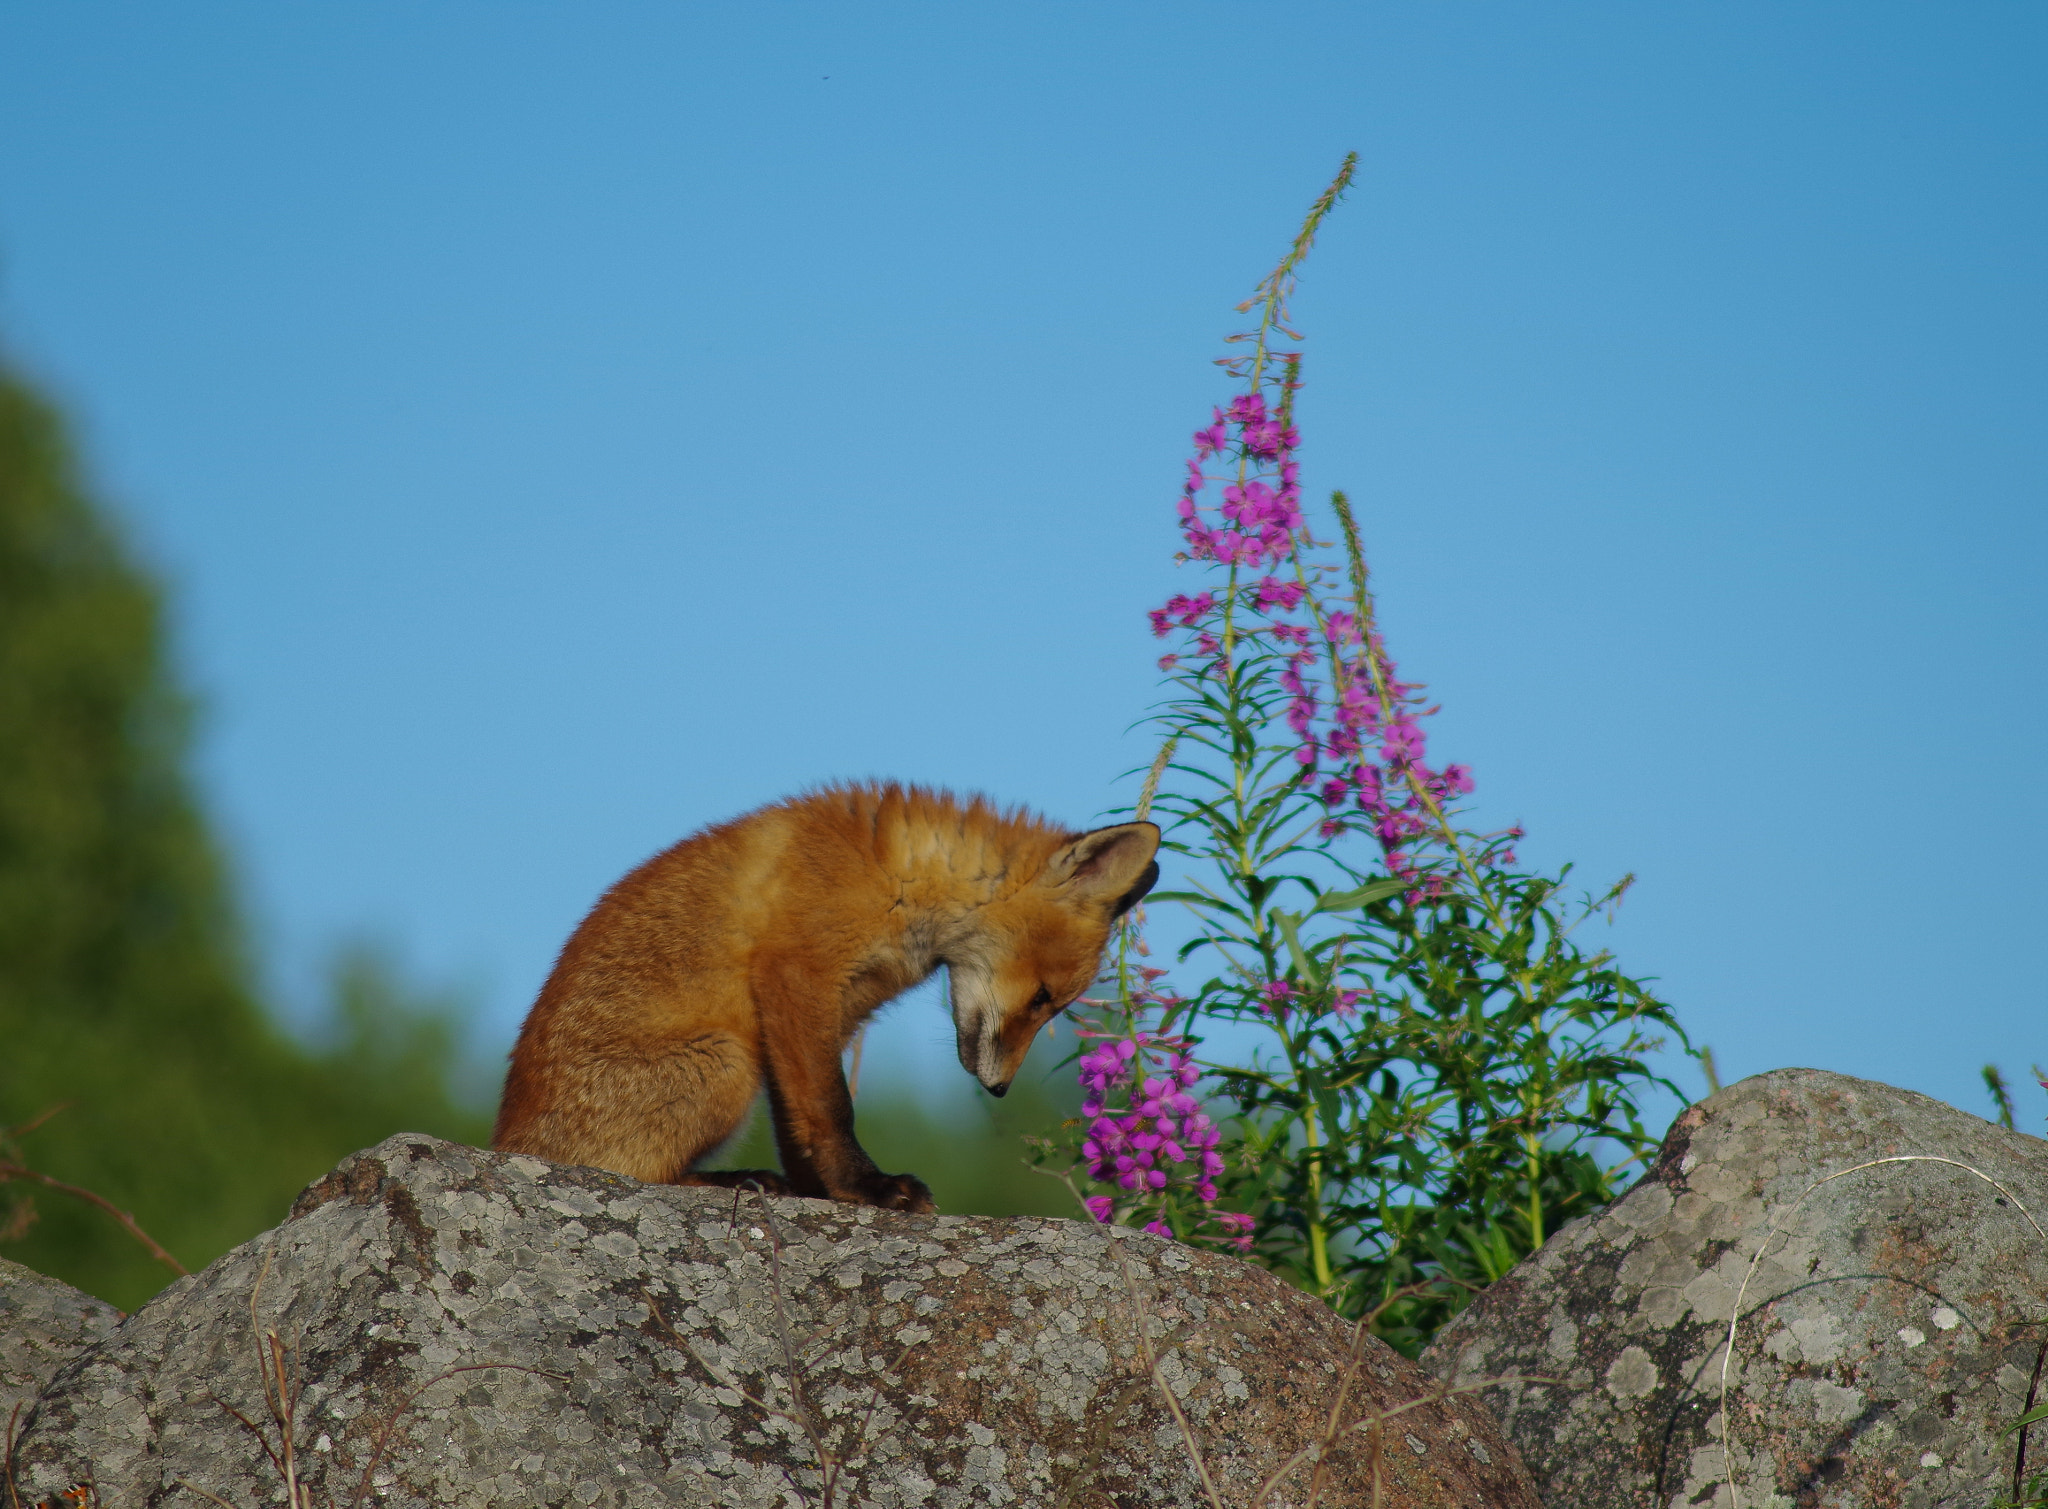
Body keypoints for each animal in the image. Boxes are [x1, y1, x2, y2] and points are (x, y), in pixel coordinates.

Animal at [489, 782, 1163, 1203]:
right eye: (1044, 997)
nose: (999, 1090)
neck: (901, 877)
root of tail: (509, 1143)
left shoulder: (832, 1015)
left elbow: (801, 1121)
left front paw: (826, 1193)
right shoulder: (798, 977)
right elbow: (833, 1108)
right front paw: (867, 1190)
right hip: (725, 1063)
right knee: (633, 1176)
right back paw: (731, 1182)